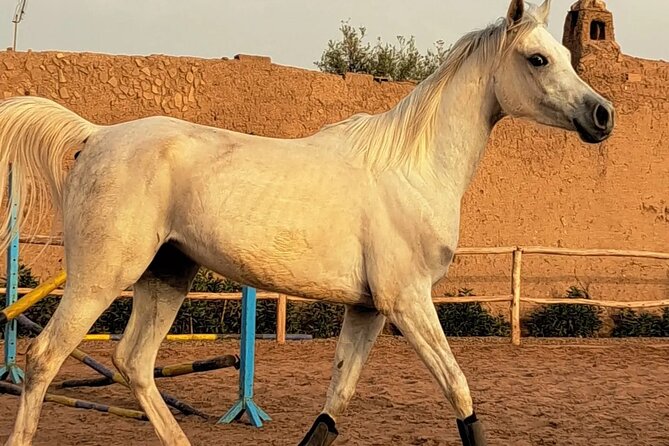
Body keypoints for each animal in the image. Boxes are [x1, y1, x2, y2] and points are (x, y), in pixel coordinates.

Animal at [0, 0, 613, 445]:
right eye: (537, 58)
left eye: (564, 54)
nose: (603, 115)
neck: (412, 168)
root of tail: (96, 135)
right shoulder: (408, 301)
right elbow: (459, 392)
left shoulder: (368, 309)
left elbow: (335, 403)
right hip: (101, 277)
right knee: (44, 358)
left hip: (167, 275)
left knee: (134, 363)